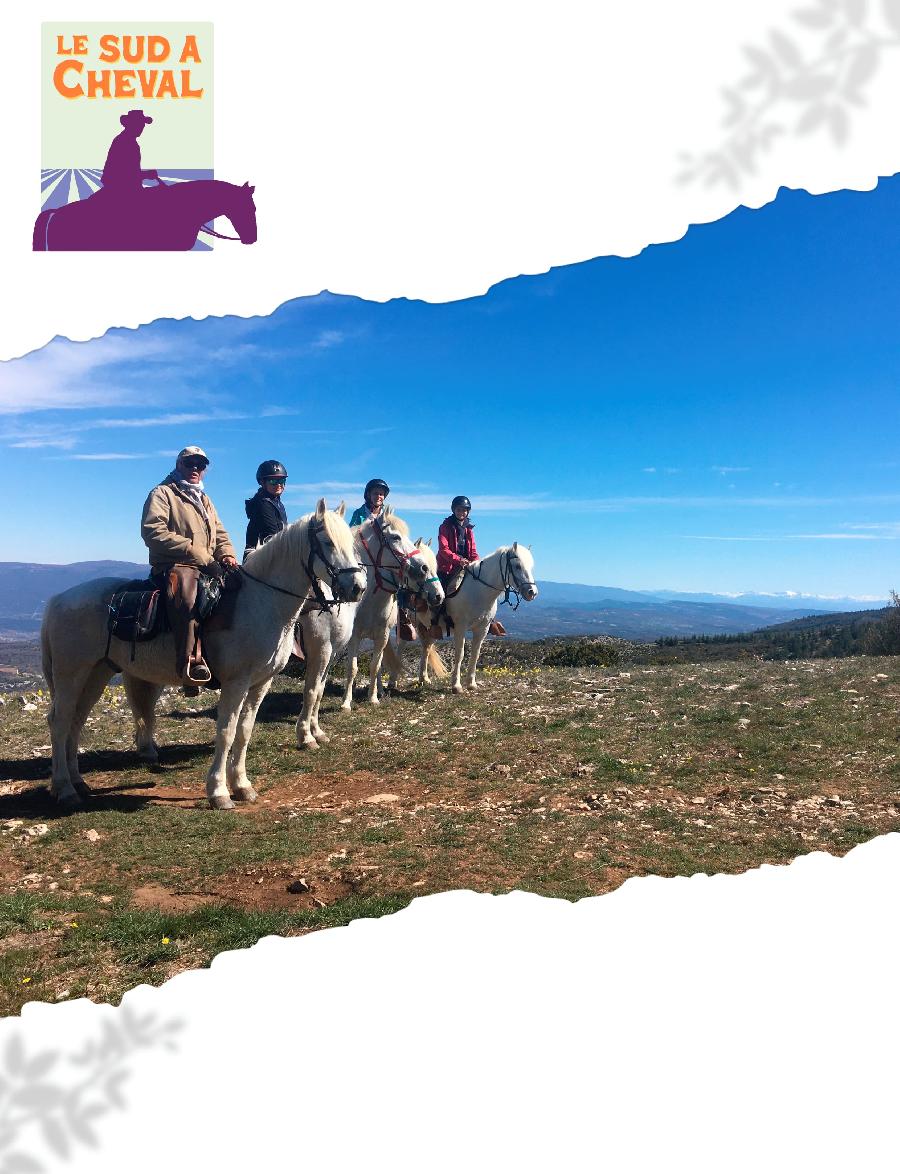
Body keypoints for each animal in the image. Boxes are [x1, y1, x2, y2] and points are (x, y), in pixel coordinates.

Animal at [41, 500, 366, 812]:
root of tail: (57, 600)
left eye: (351, 543)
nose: (357, 588)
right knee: (60, 722)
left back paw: (78, 782)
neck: (262, 602)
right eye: (327, 542)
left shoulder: (261, 683)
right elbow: (227, 732)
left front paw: (243, 786)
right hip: (71, 674)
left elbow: (245, 731)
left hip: (96, 673)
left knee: (76, 721)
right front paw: (219, 792)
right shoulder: (237, 682)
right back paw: (65, 789)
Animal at [389, 542, 539, 690]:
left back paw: (423, 679)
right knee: (401, 647)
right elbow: (460, 654)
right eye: (517, 566)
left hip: (430, 628)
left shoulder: (482, 629)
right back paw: (392, 681)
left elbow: (475, 654)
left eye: (531, 567)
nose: (532, 592)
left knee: (426, 647)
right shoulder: (460, 627)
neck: (479, 591)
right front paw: (456, 685)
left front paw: (471, 683)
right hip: (408, 624)